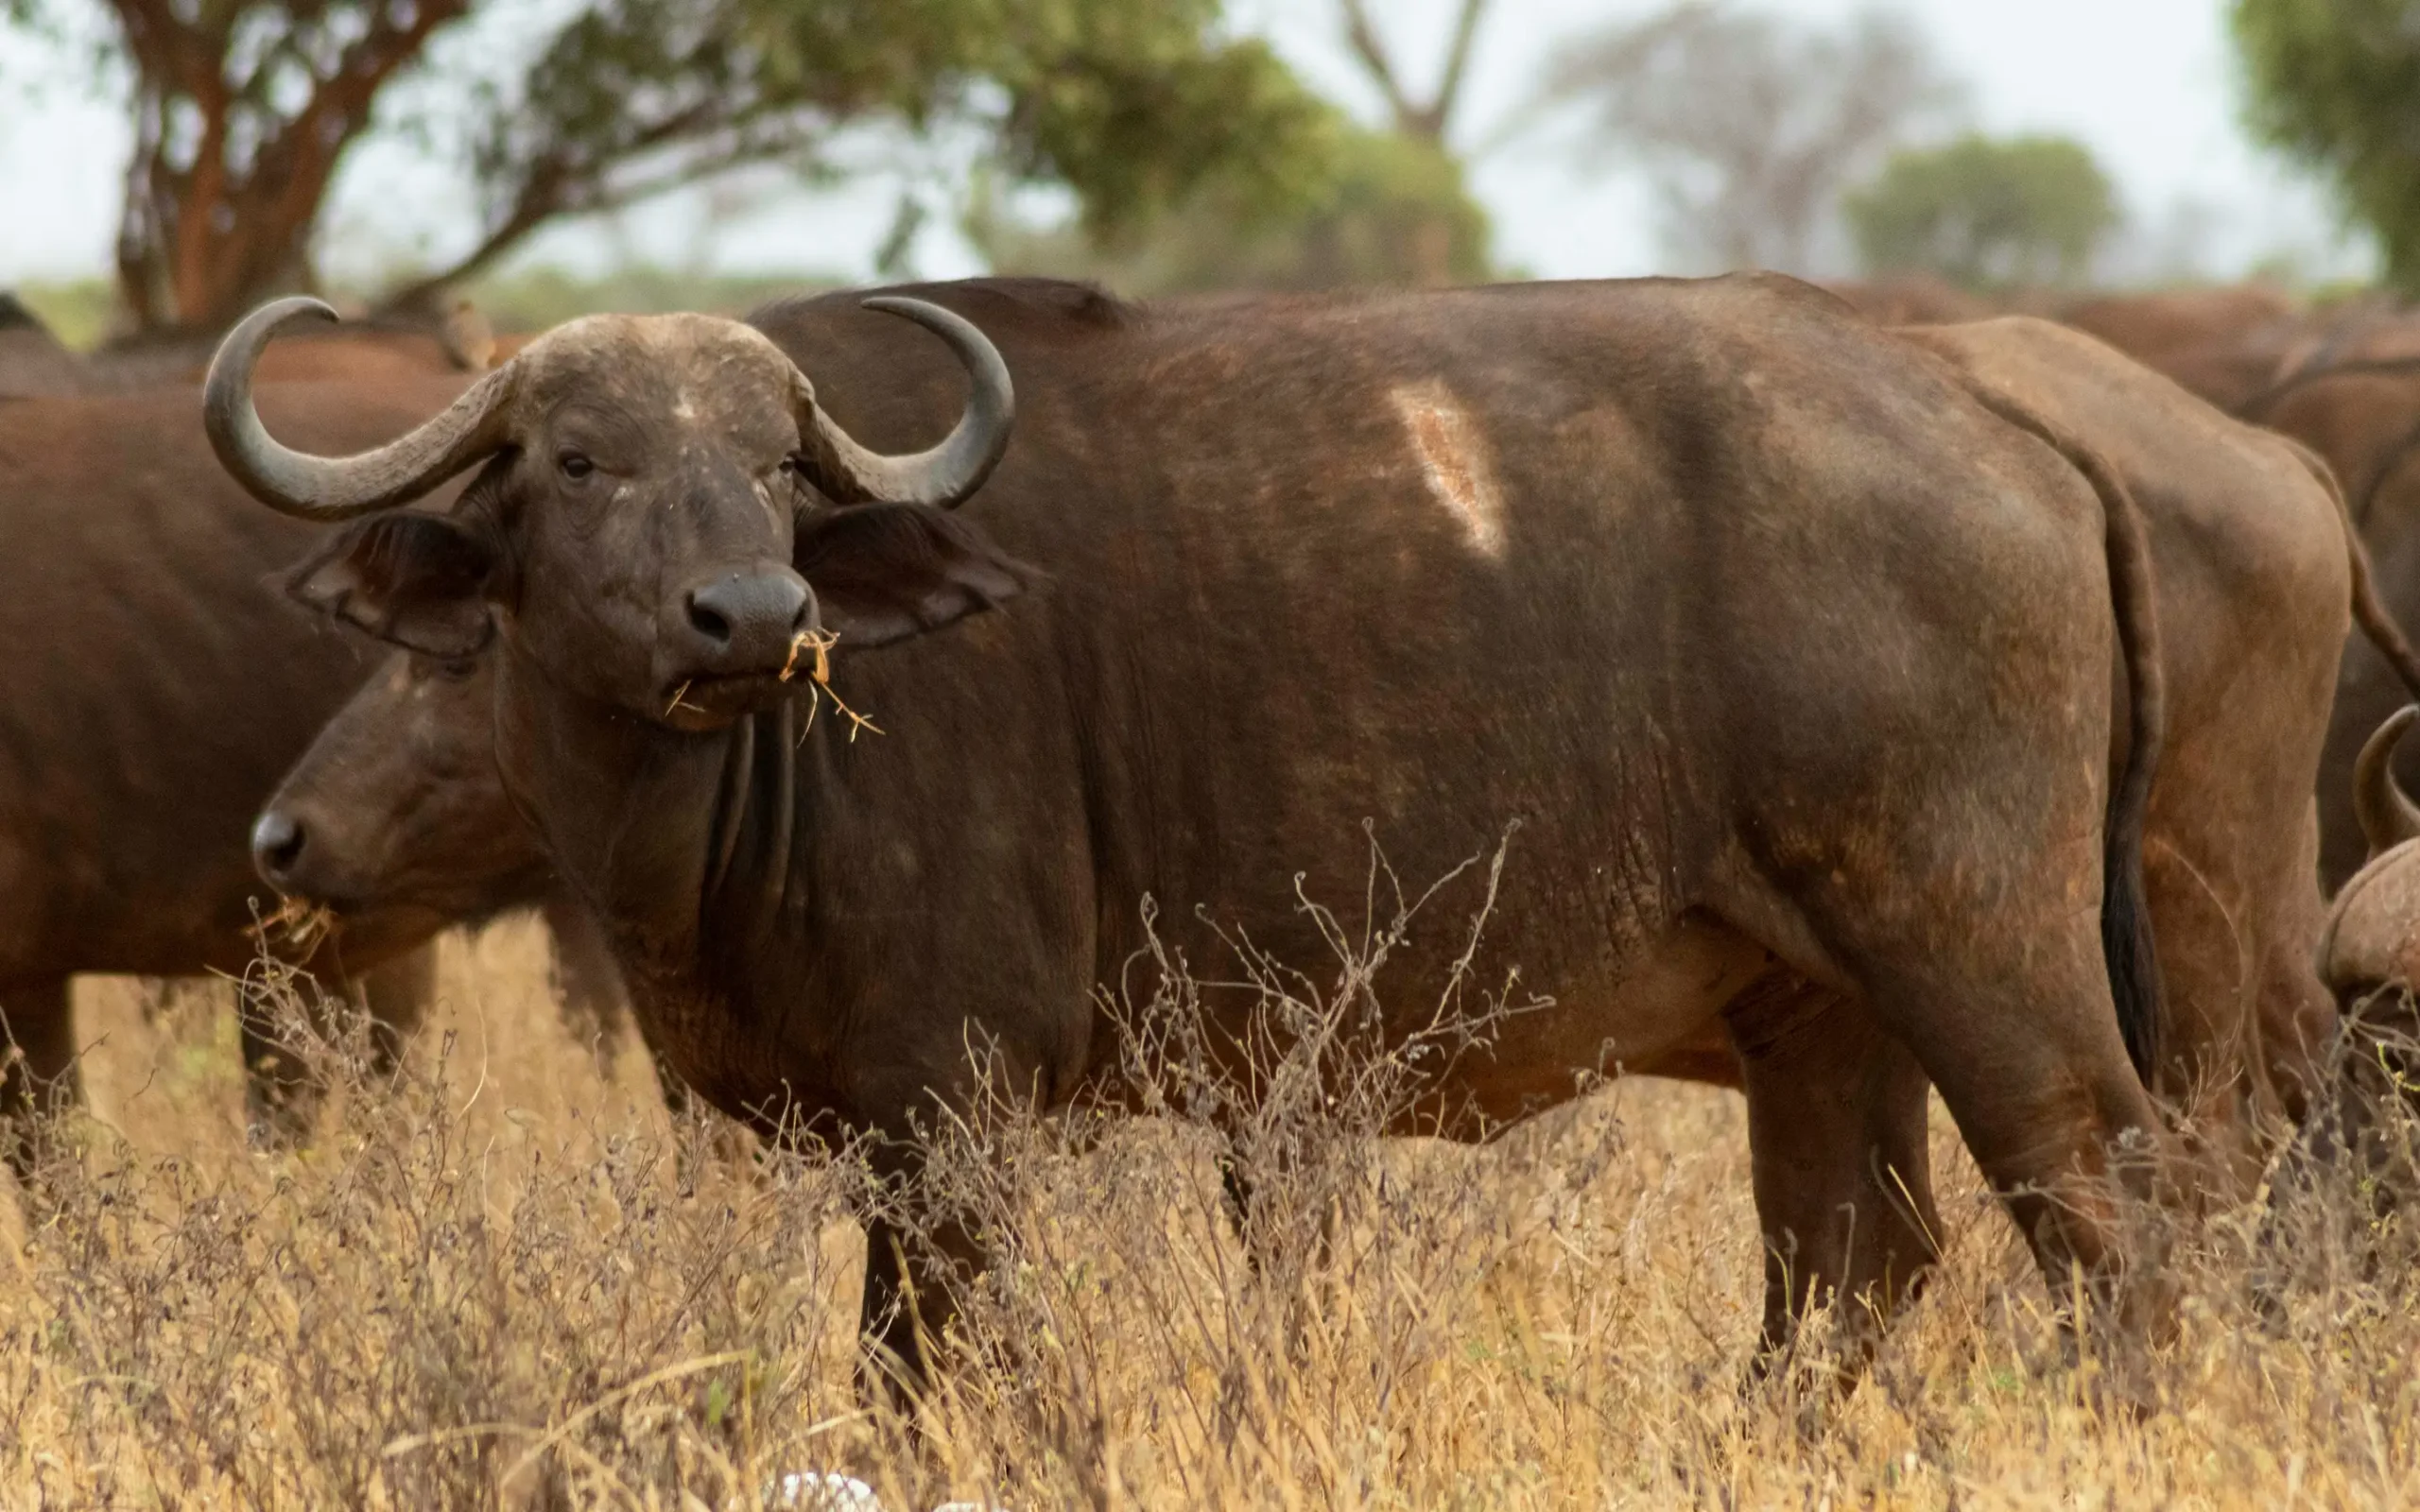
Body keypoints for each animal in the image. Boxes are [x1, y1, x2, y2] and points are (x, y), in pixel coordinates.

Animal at [208, 274, 2178, 1393]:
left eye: (772, 464)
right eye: (578, 462)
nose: (754, 615)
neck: (721, 814)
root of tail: (1985, 405)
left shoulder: (956, 1120)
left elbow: (940, 1383)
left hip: (1986, 972)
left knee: (2107, 1221)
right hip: (1814, 1018)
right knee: (1851, 1275)